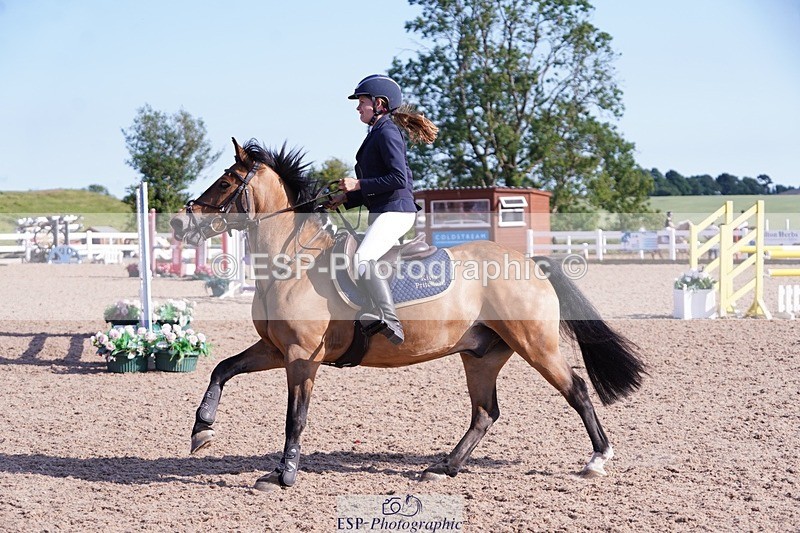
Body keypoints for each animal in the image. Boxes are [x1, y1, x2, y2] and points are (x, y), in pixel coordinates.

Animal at [170, 138, 646, 491]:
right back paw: (443, 467)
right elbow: (222, 369)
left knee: (576, 391)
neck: (293, 262)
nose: (179, 224)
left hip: (536, 345)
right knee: (485, 413)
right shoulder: (274, 349)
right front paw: (201, 430)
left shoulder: (302, 356)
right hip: (481, 354)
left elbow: (295, 417)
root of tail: (529, 261)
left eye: (226, 181)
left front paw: (282, 474)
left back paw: (597, 459)